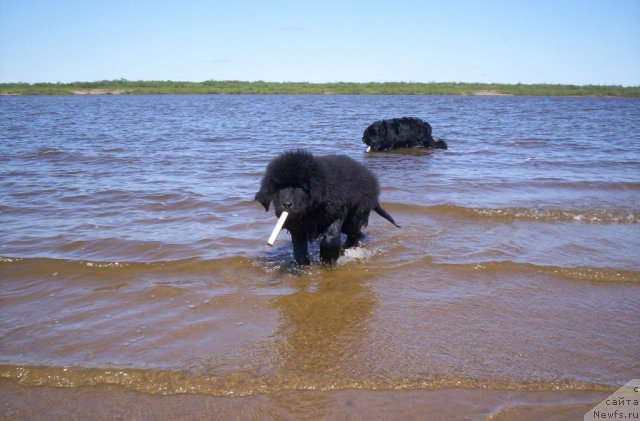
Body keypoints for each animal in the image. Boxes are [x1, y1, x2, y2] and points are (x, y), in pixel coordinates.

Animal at [255, 149, 400, 264]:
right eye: (279, 187)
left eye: (300, 187)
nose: (287, 204)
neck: (311, 210)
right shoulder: (297, 228)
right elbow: (299, 249)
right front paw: (303, 264)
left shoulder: (337, 212)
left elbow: (330, 237)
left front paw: (328, 258)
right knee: (356, 234)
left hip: (354, 217)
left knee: (353, 235)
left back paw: (347, 249)